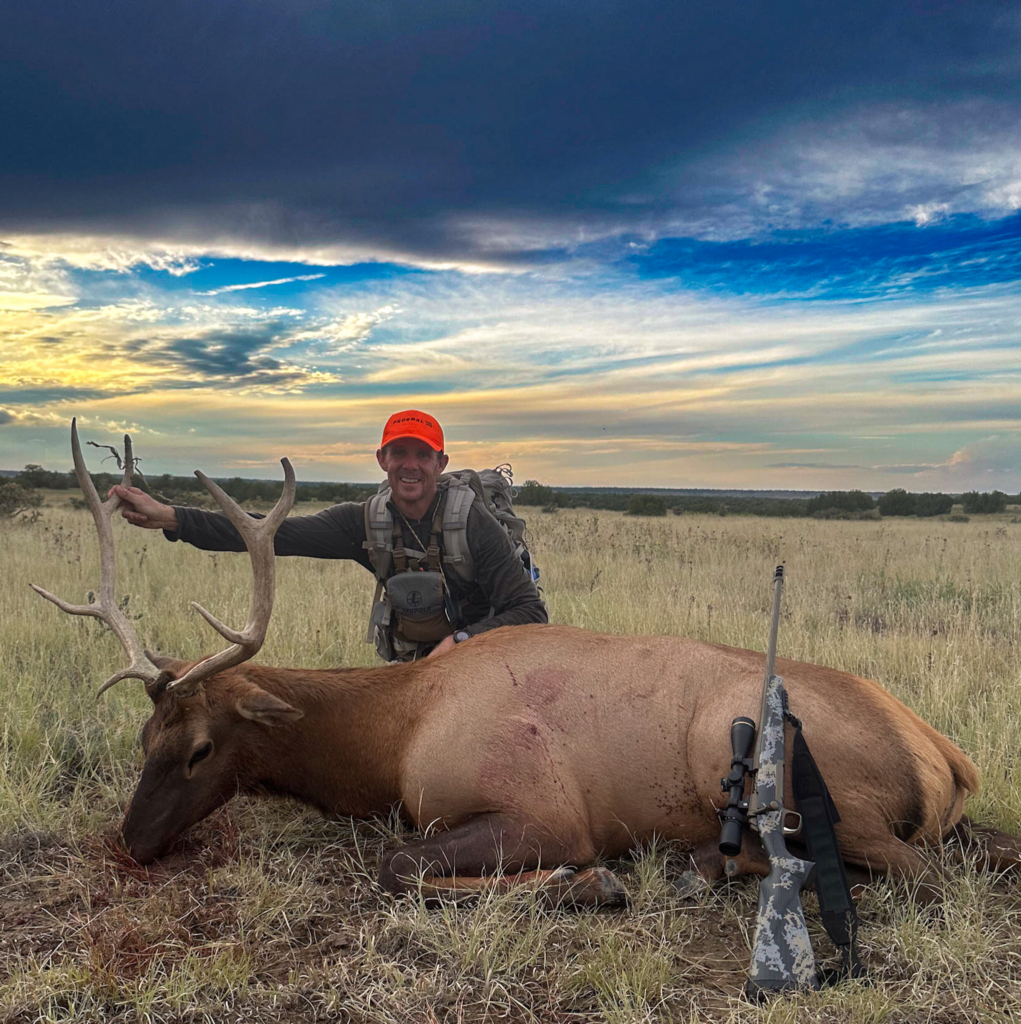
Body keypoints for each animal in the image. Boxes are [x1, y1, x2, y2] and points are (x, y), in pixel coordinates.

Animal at [32, 421, 1021, 907]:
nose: (129, 841)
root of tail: (946, 757)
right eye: (144, 739)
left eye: (199, 747)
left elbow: (397, 867)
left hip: (753, 755)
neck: (393, 735)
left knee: (908, 871)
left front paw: (581, 883)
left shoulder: (542, 809)